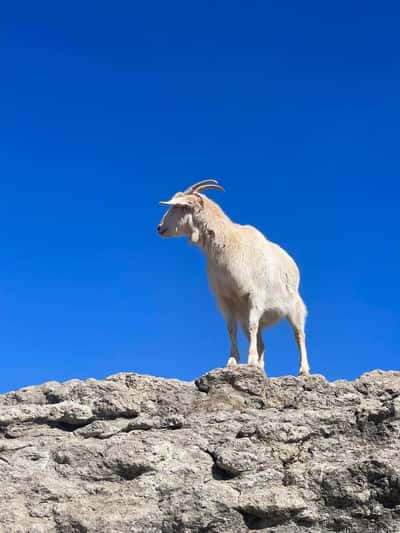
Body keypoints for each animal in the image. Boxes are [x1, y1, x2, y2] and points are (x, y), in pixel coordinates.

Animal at [156, 179, 310, 374]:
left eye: (179, 207)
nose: (159, 228)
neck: (229, 244)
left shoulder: (255, 296)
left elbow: (253, 326)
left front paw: (250, 360)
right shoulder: (225, 299)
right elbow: (231, 329)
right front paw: (233, 361)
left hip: (295, 308)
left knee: (299, 335)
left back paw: (303, 369)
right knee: (261, 341)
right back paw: (261, 367)